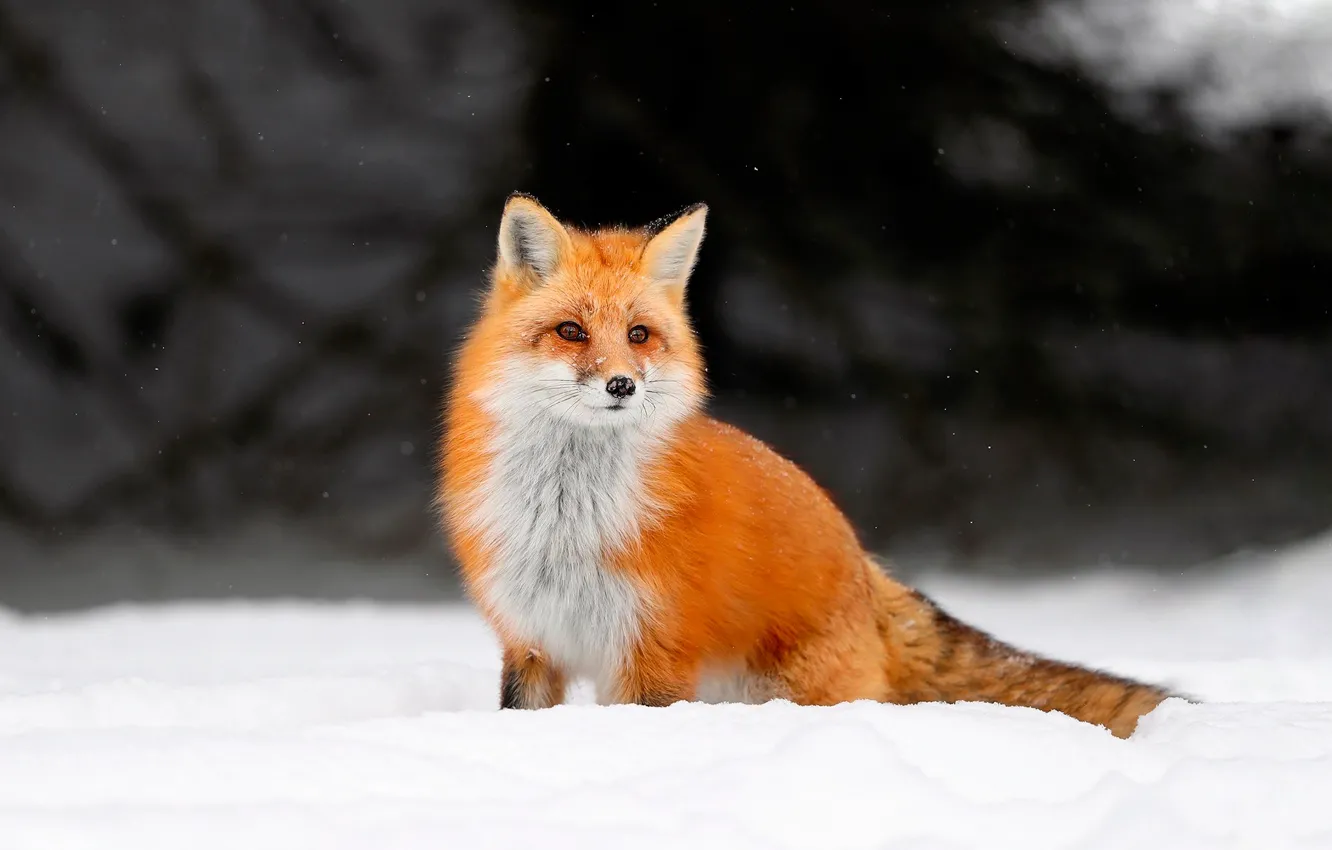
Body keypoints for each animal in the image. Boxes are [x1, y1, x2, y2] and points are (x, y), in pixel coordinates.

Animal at [436, 193, 1174, 738]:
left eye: (639, 336)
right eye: (572, 332)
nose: (622, 385)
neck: (568, 521)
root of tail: (865, 566)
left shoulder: (653, 655)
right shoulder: (532, 644)